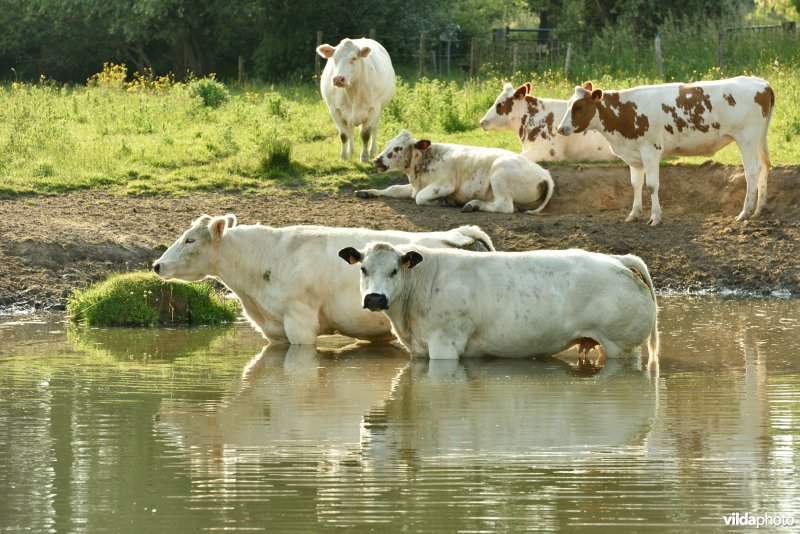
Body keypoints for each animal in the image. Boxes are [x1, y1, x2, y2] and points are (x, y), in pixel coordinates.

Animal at [340, 244, 660, 364]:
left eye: (394, 270)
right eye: (363, 269)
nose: (375, 297)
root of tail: (617, 259)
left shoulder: (445, 344)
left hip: (621, 346)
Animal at [358, 129, 556, 215]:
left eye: (398, 148)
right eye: (388, 144)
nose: (377, 160)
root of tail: (545, 175)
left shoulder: (444, 185)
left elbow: (420, 198)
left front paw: (445, 202)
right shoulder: (414, 186)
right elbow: (393, 189)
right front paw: (367, 192)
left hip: (500, 174)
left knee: (505, 207)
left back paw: (473, 205)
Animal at [556, 76, 776, 225]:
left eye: (579, 106)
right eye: (568, 104)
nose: (560, 128)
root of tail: (761, 83)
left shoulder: (651, 150)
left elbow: (652, 185)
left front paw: (655, 217)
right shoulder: (634, 156)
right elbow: (635, 185)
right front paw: (633, 214)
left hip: (746, 138)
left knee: (752, 171)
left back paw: (745, 212)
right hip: (759, 138)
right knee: (765, 166)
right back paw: (759, 209)